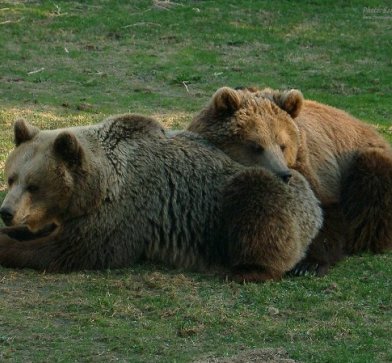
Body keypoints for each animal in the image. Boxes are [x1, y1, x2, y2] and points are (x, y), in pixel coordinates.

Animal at [0, 114, 322, 282]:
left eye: (34, 186)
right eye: (12, 178)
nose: (6, 211)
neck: (98, 186)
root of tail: (314, 199)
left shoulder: (123, 212)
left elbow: (69, 250)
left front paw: (8, 246)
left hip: (259, 200)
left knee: (255, 196)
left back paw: (247, 269)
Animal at [188, 87, 392, 276]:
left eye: (282, 145)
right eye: (256, 146)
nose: (283, 174)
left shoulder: (316, 174)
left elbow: (324, 216)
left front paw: (309, 264)